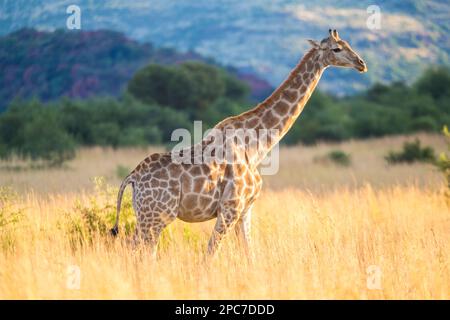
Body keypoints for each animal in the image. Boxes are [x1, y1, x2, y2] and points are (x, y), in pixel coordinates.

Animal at [110, 28, 368, 256]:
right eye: (336, 48)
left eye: (348, 44)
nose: (361, 63)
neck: (255, 147)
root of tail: (132, 177)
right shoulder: (230, 208)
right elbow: (210, 253)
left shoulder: (246, 210)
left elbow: (249, 253)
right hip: (156, 217)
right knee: (140, 253)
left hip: (145, 215)